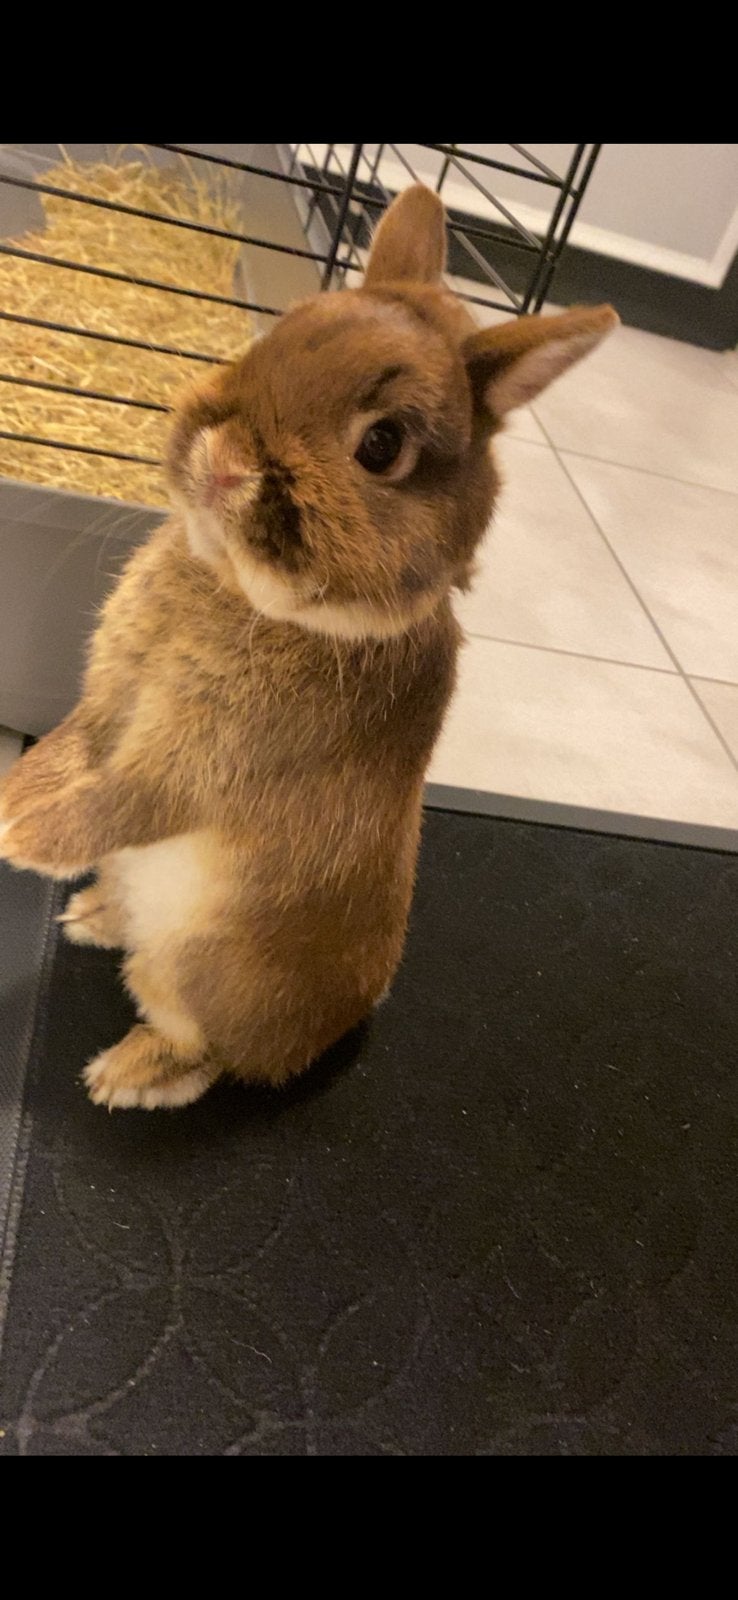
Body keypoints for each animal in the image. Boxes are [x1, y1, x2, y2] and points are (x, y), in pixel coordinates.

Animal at [0, 184, 618, 1109]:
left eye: (382, 445)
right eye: (278, 337)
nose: (223, 460)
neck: (247, 599)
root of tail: (333, 1028)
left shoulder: (201, 763)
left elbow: (123, 801)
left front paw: (17, 839)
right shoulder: (108, 701)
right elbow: (71, 750)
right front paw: (12, 799)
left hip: (201, 973)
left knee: (206, 1052)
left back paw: (126, 1075)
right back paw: (95, 914)